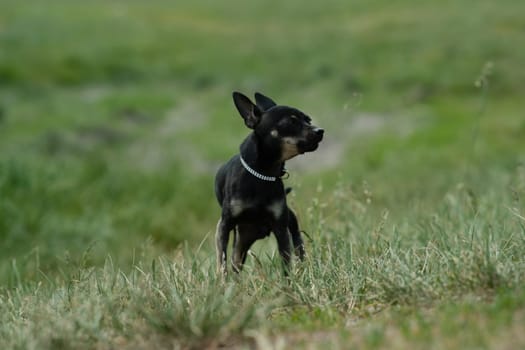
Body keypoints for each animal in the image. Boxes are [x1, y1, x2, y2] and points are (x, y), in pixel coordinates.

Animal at [214, 91, 324, 274]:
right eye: (290, 122)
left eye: (308, 120)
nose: (320, 130)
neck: (263, 174)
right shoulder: (224, 226)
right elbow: (222, 261)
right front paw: (222, 279)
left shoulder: (281, 229)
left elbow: (286, 263)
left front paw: (289, 281)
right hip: (242, 239)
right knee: (235, 262)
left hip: (289, 228)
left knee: (298, 249)